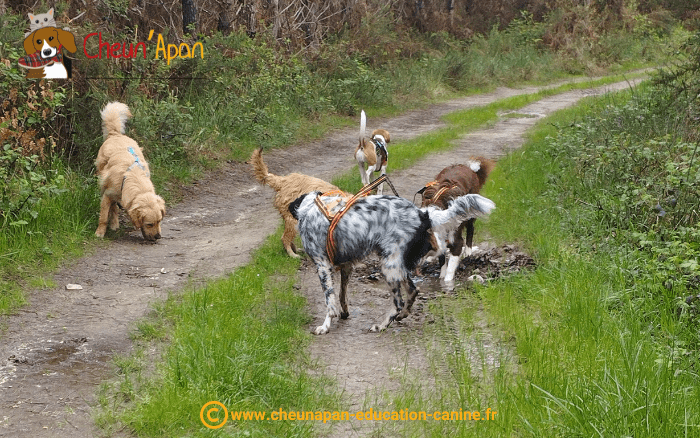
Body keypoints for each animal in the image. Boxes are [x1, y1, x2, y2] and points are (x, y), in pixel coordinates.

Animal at [94, 101, 165, 241]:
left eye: (159, 221)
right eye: (149, 224)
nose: (158, 237)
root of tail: (115, 134)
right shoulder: (107, 195)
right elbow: (103, 217)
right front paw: (99, 233)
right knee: (114, 208)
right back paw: (114, 223)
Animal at [288, 192, 494, 336]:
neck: (310, 207)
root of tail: (423, 214)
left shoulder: (322, 266)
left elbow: (330, 301)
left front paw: (325, 326)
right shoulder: (346, 266)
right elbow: (341, 295)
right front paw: (344, 313)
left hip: (389, 265)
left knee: (398, 302)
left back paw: (381, 325)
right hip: (396, 264)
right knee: (412, 292)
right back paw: (402, 316)